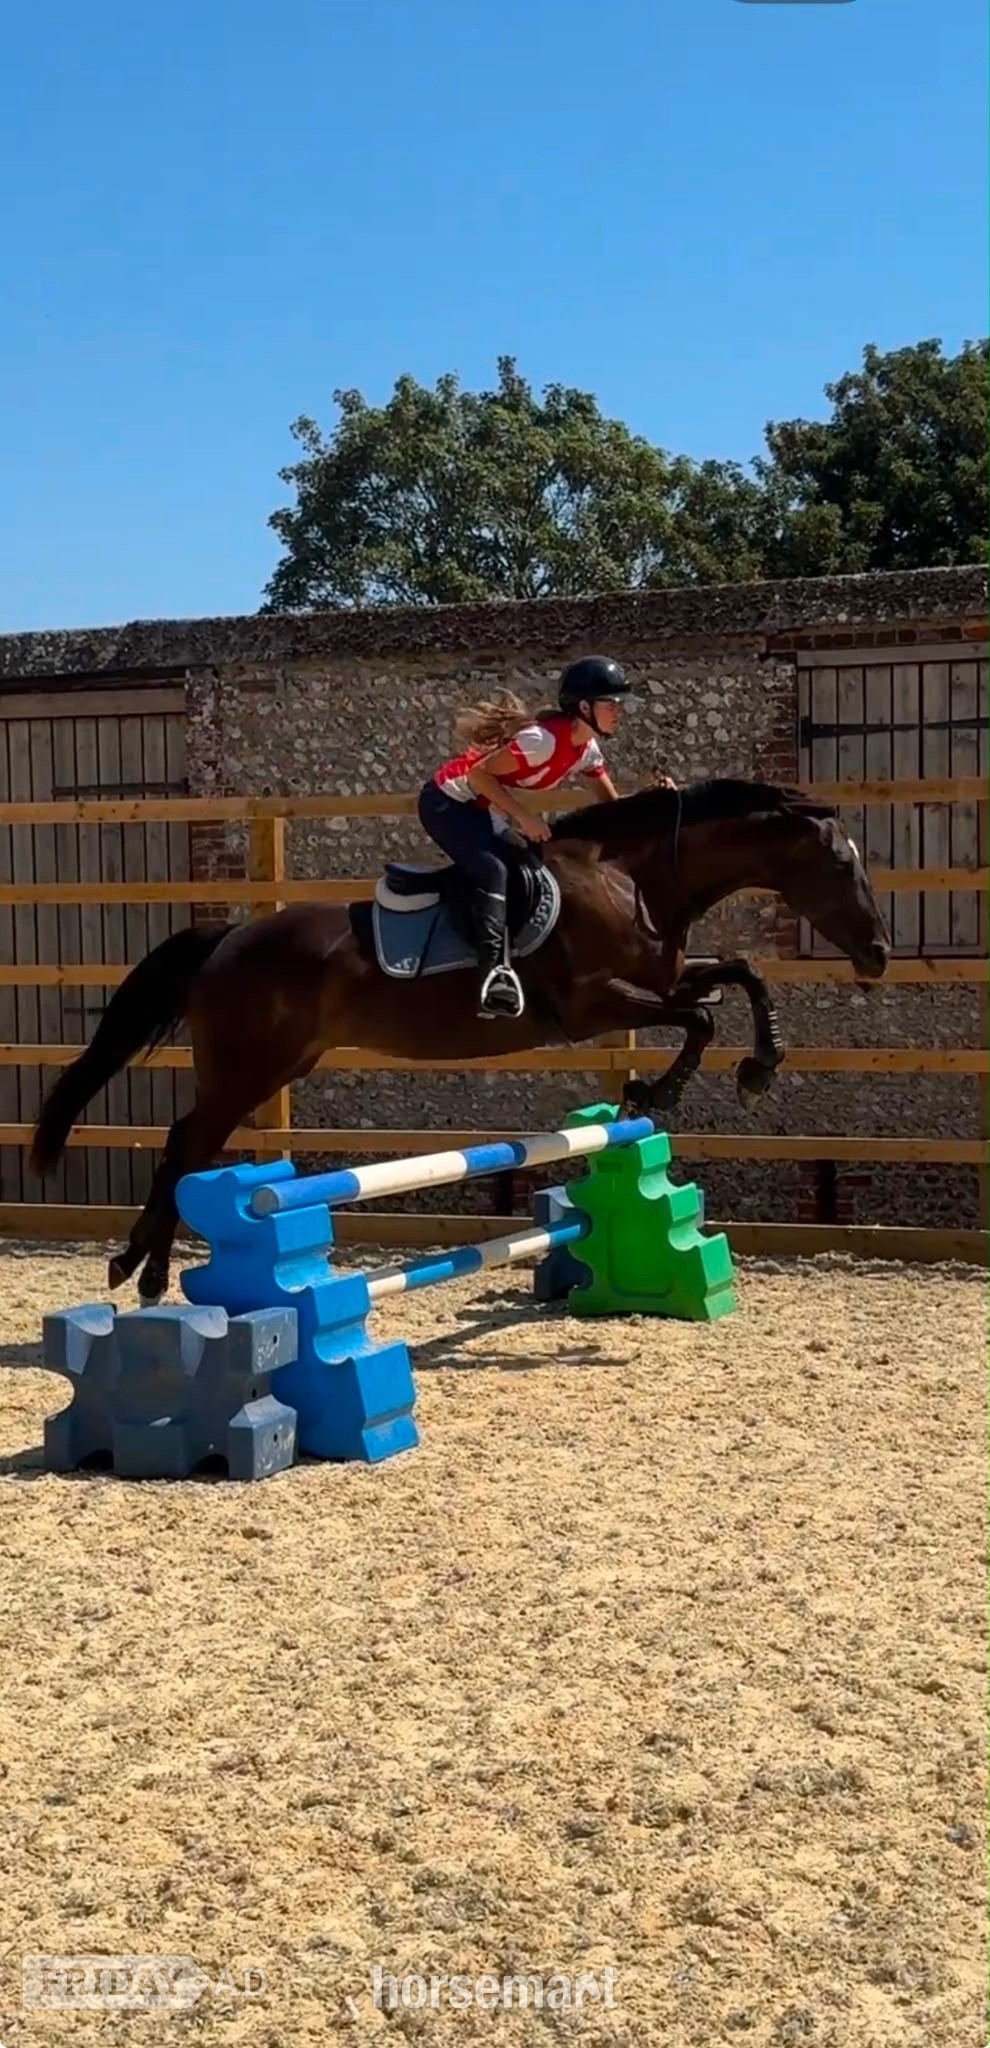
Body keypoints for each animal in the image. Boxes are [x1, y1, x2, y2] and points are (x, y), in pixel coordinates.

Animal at [29, 776, 890, 1305]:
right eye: (840, 863)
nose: (879, 953)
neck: (634, 879)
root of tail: (228, 939)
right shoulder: (590, 1005)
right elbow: (704, 1016)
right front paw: (659, 1090)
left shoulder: (663, 979)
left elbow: (738, 978)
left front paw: (757, 1066)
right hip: (246, 1069)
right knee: (184, 1145)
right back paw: (135, 1270)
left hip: (271, 1065)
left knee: (192, 1148)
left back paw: (145, 1272)